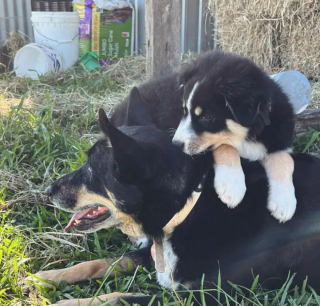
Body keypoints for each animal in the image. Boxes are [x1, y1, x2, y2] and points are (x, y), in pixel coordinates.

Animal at [30, 79, 320, 306]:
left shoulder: (202, 297)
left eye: (91, 168)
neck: (190, 203)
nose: (47, 191)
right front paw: (45, 278)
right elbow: (102, 262)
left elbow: (119, 297)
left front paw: (65, 302)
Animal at [174, 50, 296, 222]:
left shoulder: (278, 139)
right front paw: (232, 185)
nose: (175, 144)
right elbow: (226, 145)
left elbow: (286, 160)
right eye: (184, 110)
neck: (248, 135)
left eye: (207, 117)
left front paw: (284, 202)